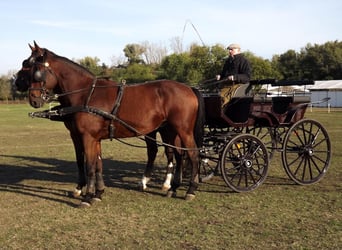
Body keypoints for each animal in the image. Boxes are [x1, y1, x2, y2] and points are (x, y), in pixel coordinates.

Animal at [14, 41, 204, 205]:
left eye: (35, 70)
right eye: (27, 65)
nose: (33, 98)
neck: (85, 94)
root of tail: (189, 88)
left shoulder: (87, 137)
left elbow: (89, 165)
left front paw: (87, 197)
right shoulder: (92, 138)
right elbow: (97, 164)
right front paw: (98, 193)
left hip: (184, 130)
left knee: (193, 155)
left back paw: (190, 190)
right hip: (171, 131)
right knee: (178, 155)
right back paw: (173, 188)